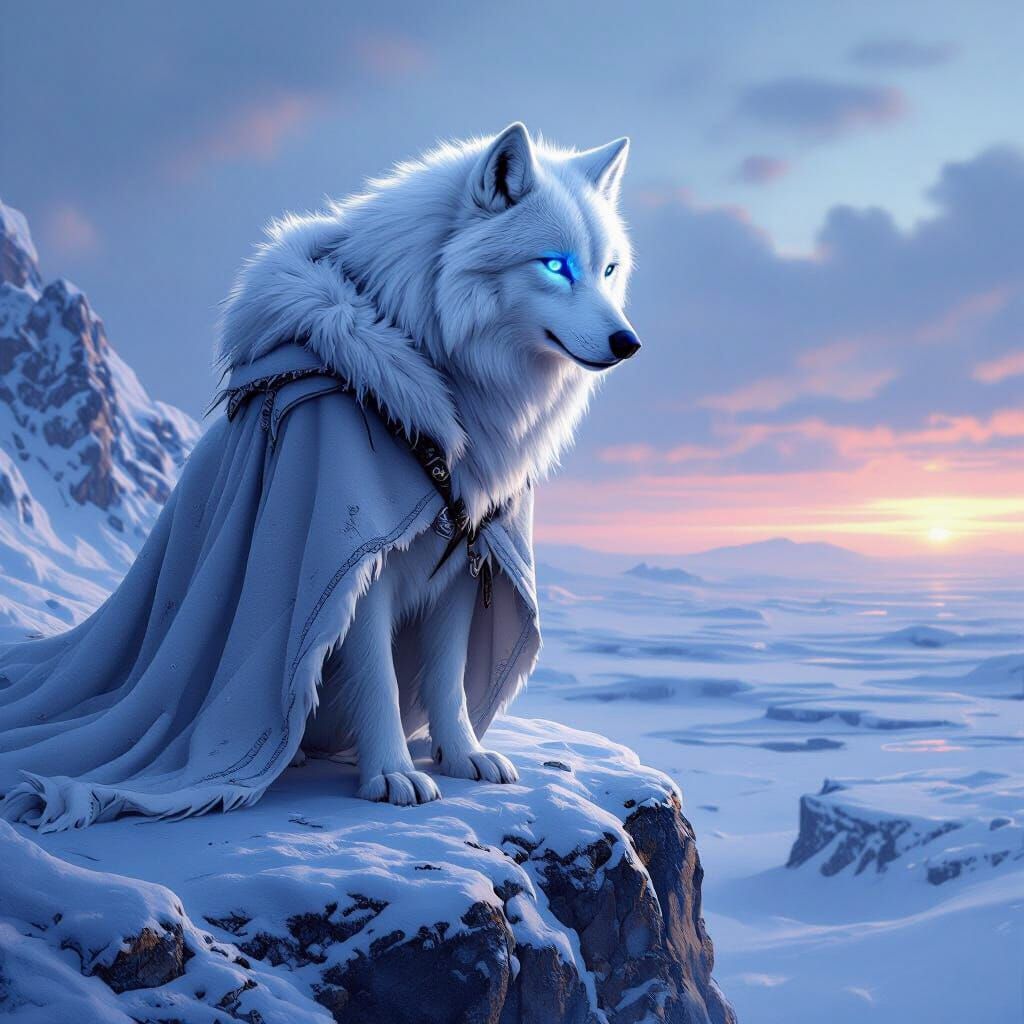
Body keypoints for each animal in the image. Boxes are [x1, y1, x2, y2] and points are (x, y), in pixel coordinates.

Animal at [0, 123, 640, 828]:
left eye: (607, 270)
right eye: (555, 266)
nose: (628, 343)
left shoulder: (465, 565)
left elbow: (445, 679)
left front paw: (462, 755)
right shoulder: (355, 551)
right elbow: (379, 676)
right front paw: (391, 772)